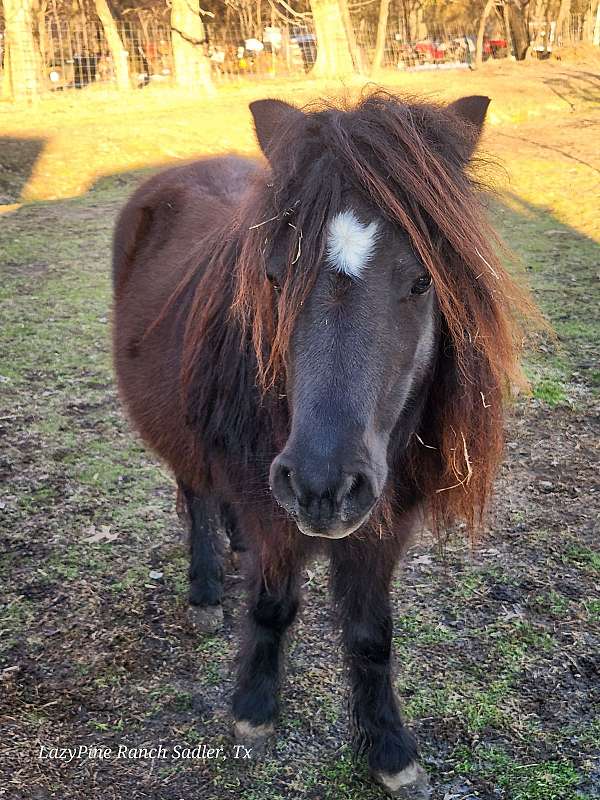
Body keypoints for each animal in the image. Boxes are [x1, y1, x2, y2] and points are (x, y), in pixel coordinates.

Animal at [111, 92, 536, 792]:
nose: (320, 485)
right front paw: (254, 713)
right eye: (275, 277)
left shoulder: (382, 528)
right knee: (197, 496)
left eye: (422, 282)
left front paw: (390, 751)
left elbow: (370, 634)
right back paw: (205, 590)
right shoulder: (276, 521)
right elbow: (271, 607)